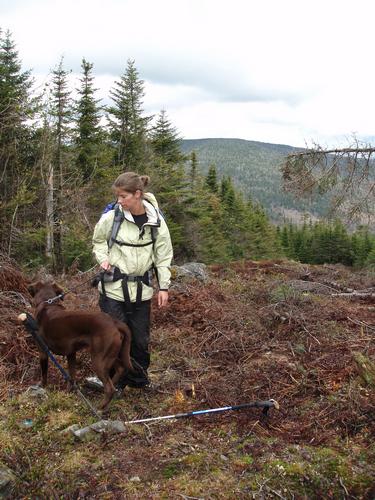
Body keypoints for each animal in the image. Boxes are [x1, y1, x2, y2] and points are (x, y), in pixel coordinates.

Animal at [26, 282, 132, 410]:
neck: (47, 303)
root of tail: (114, 322)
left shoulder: (42, 351)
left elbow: (44, 374)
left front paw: (42, 386)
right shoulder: (71, 353)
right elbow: (72, 376)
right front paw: (68, 392)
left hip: (98, 360)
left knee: (109, 388)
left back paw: (100, 407)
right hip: (109, 355)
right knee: (120, 369)